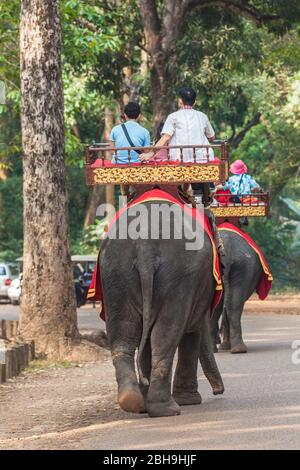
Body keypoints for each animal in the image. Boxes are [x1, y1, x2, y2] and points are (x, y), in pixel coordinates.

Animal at [99, 196, 224, 416]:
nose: (219, 391)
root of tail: (145, 245)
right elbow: (193, 330)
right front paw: (190, 400)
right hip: (179, 275)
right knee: (166, 332)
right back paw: (167, 408)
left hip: (115, 273)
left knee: (124, 333)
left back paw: (135, 402)